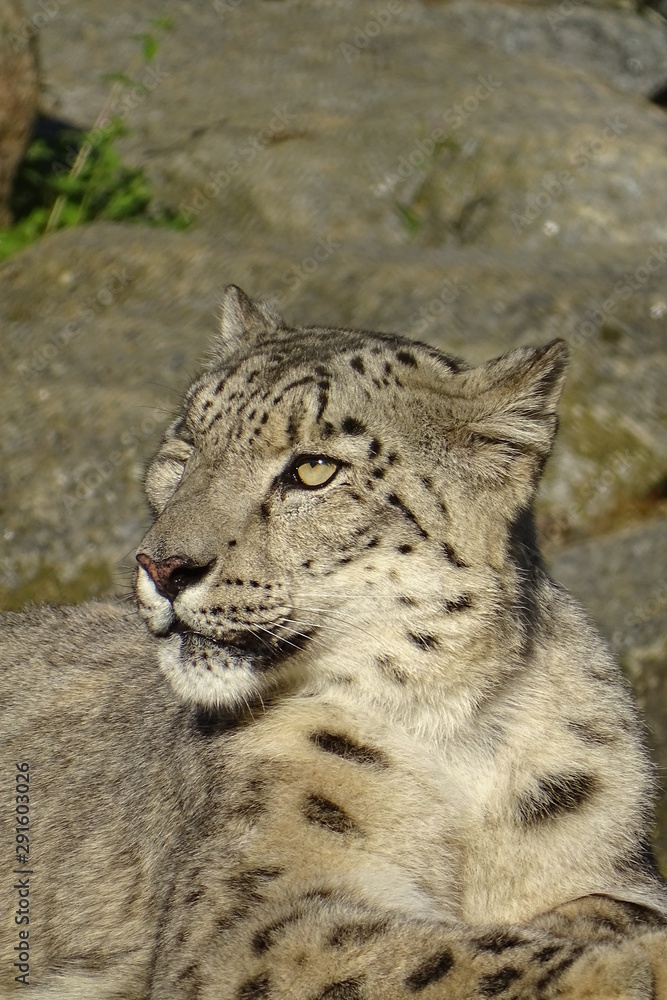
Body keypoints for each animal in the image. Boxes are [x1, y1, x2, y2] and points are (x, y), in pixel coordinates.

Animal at [1, 285, 666, 1000]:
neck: (458, 736)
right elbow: (441, 956)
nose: (162, 565)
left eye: (315, 469)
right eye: (188, 443)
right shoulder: (248, 918)